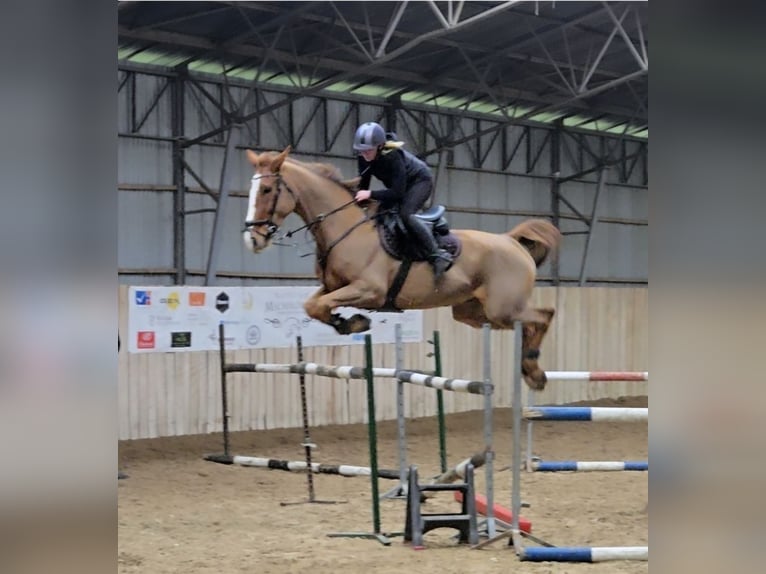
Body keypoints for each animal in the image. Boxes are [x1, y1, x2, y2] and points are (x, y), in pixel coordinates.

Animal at [243, 146, 561, 390]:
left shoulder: (369, 291)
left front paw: (354, 322)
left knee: (543, 315)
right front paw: (350, 323)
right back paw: (529, 368)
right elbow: (313, 305)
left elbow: (321, 306)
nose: (252, 239)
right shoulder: (333, 287)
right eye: (251, 189)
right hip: (472, 312)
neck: (345, 229)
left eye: (267, 189)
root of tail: (512, 241)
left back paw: (533, 370)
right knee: (526, 323)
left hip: (501, 308)